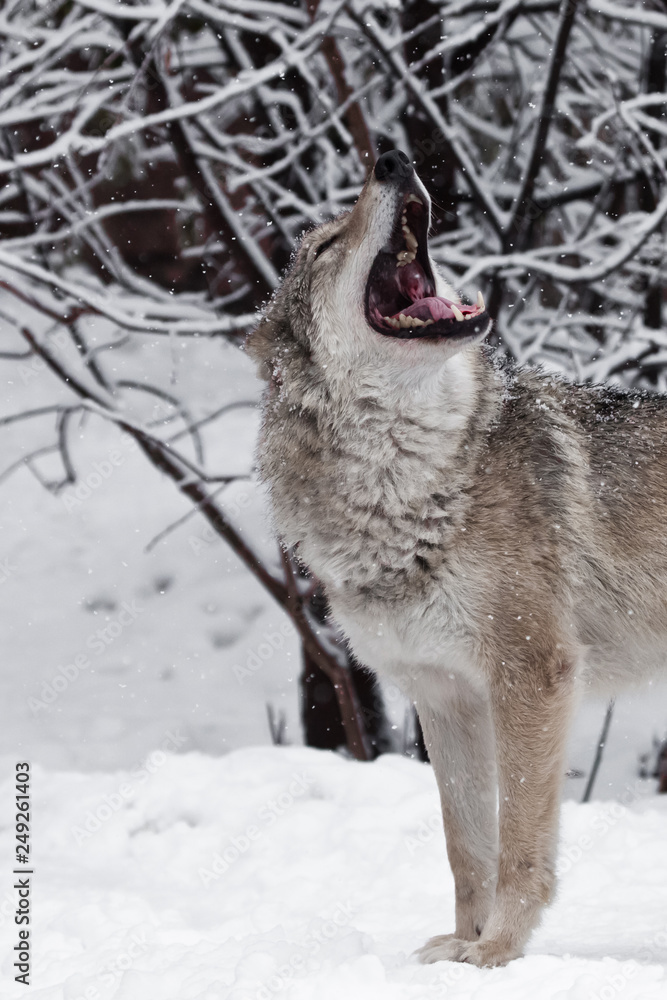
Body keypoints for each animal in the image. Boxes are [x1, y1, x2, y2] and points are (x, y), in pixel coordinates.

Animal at [247, 149, 667, 967]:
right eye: (325, 246)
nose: (393, 157)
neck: (410, 484)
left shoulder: (530, 674)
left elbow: (519, 844)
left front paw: (498, 950)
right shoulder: (443, 695)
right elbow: (465, 845)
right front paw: (459, 946)